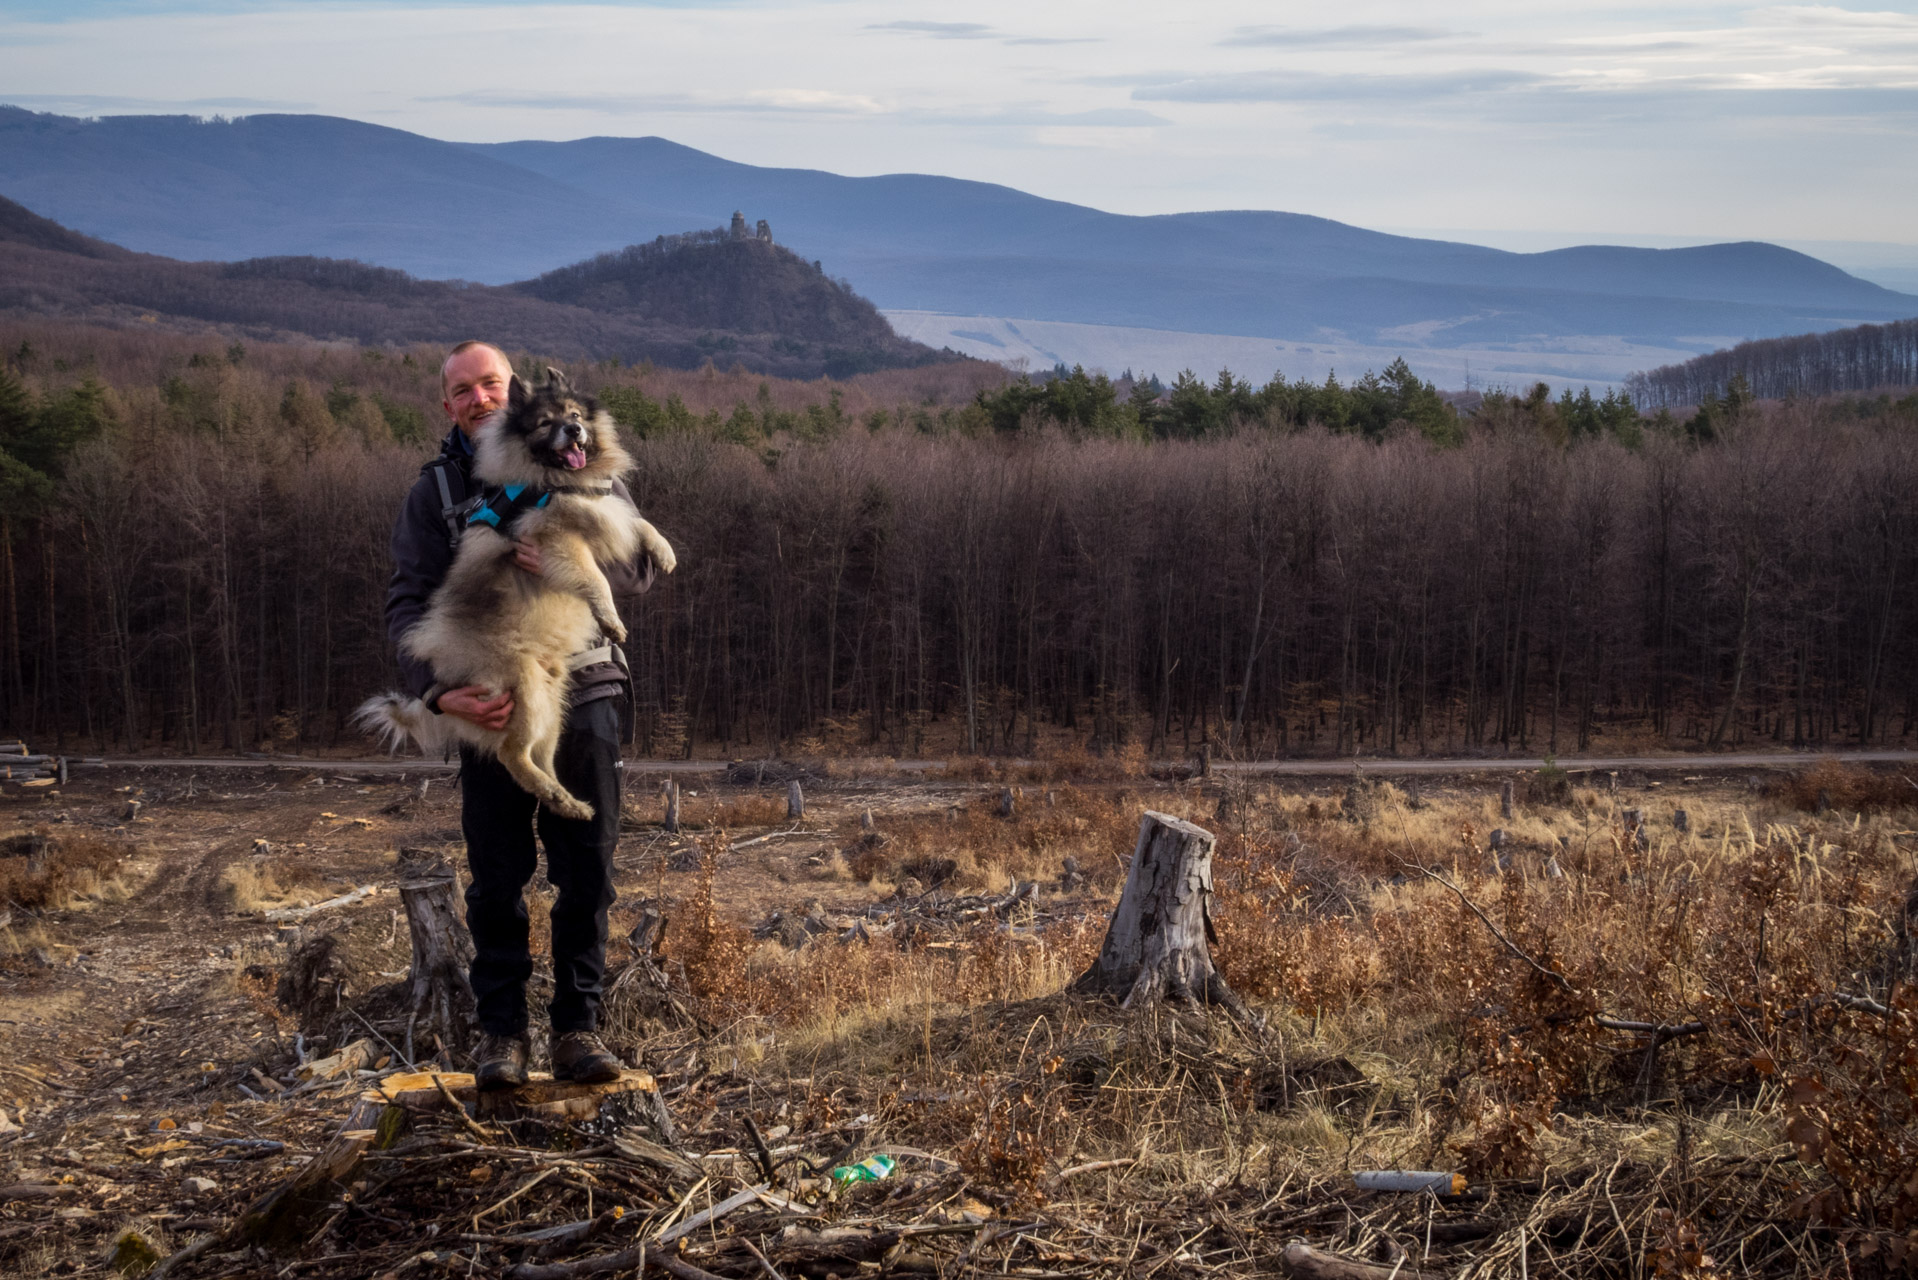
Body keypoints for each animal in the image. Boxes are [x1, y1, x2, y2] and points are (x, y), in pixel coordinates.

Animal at [356, 368, 678, 821]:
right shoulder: (559, 543)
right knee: (512, 754)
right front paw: (611, 618)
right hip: (524, 687)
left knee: (539, 756)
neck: (558, 481)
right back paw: (557, 793)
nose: (574, 430)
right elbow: (595, 578)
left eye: (575, 415)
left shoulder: (601, 509)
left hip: (553, 698)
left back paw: (569, 800)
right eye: (545, 423)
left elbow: (637, 523)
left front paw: (664, 550)